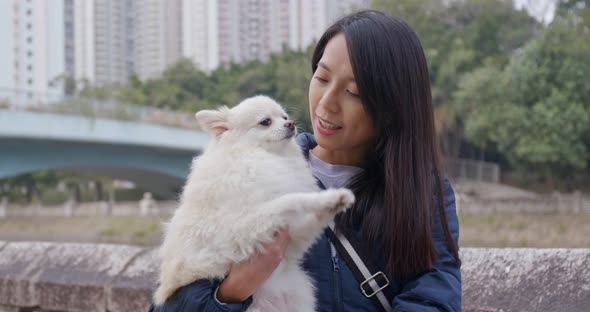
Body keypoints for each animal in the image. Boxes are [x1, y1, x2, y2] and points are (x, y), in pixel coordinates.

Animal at [154, 95, 356, 312]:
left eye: (284, 117)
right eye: (265, 122)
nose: (291, 123)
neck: (261, 156)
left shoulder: (293, 239)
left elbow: (311, 217)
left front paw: (335, 200)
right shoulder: (248, 225)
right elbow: (291, 199)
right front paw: (323, 198)